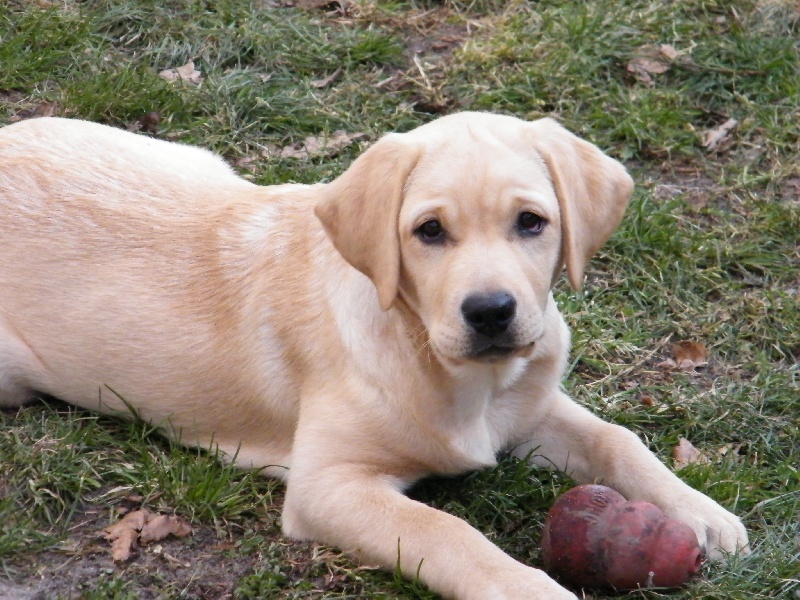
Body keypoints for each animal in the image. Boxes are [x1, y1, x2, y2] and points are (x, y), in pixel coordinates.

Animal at [1, 113, 752, 600]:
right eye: (430, 231)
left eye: (531, 222)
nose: (490, 311)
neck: (458, 374)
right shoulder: (328, 486)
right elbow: (444, 531)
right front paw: (529, 589)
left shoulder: (532, 408)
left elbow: (617, 439)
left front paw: (700, 511)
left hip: (190, 158)